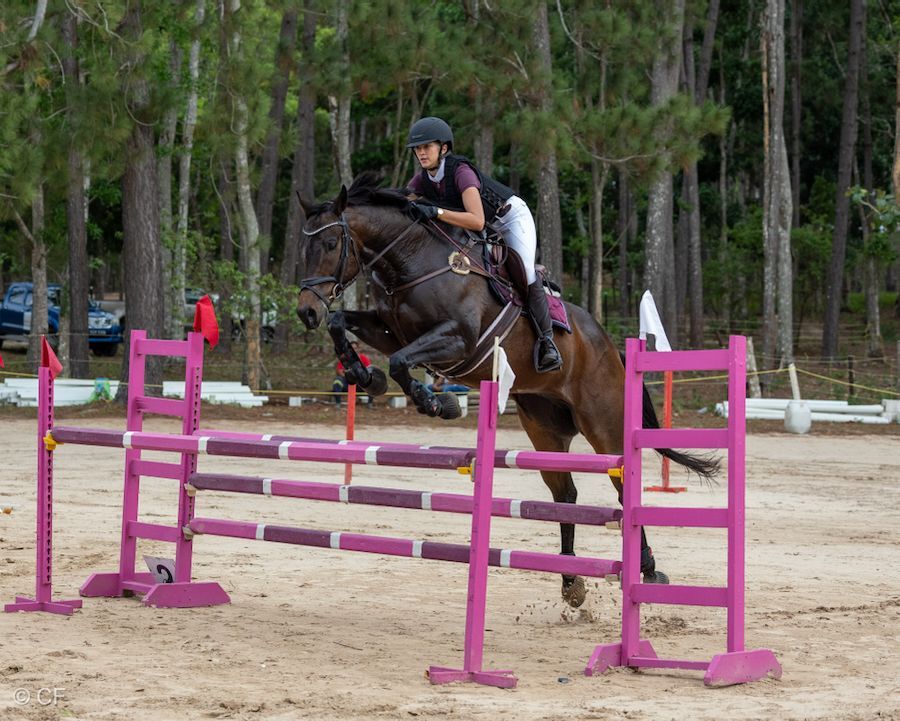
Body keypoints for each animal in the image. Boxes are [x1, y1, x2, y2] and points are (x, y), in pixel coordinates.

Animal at [296, 172, 718, 607]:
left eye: (331, 244)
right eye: (303, 246)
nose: (306, 311)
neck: (412, 261)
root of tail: (612, 348)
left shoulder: (458, 340)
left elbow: (400, 362)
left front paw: (436, 402)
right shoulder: (390, 330)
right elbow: (344, 325)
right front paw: (364, 377)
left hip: (605, 426)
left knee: (622, 491)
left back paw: (647, 569)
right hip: (544, 428)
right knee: (565, 494)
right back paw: (571, 581)